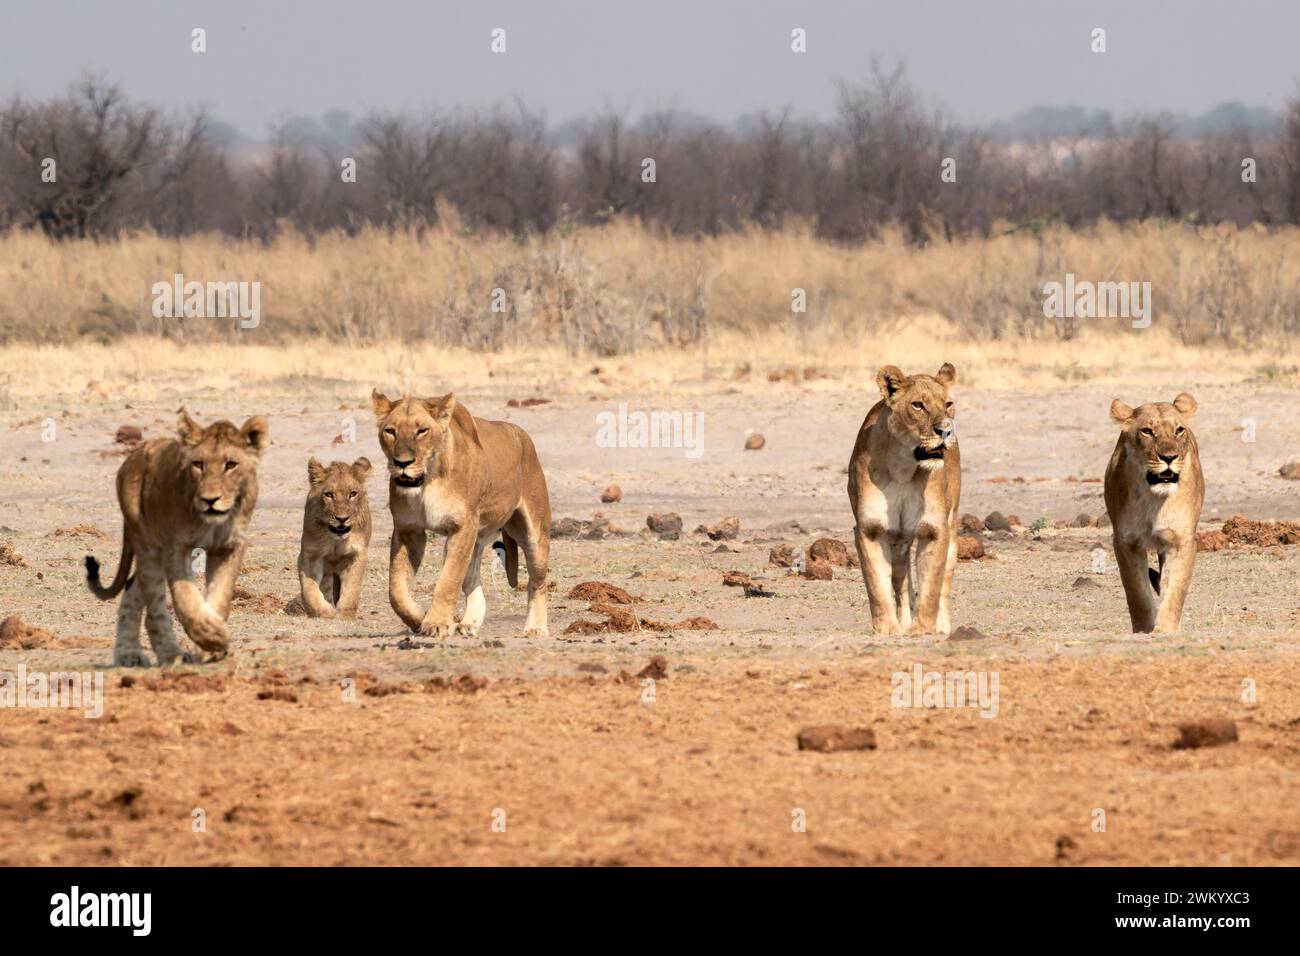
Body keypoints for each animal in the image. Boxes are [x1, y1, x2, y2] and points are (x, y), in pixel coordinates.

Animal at [85, 410, 269, 666]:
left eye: (231, 465)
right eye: (198, 464)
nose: (210, 500)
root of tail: (132, 457)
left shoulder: (230, 546)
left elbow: (220, 597)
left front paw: (210, 646)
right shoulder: (178, 546)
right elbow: (186, 599)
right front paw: (212, 636)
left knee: (132, 586)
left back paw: (129, 654)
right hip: (148, 543)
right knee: (152, 608)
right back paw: (168, 654)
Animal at [297, 457, 373, 619]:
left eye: (353, 494)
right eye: (329, 494)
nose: (342, 519)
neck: (335, 541)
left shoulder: (356, 554)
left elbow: (352, 587)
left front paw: (345, 614)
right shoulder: (310, 554)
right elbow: (309, 588)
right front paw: (324, 612)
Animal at [371, 389, 551, 639]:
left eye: (422, 430)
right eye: (390, 431)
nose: (402, 463)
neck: (428, 481)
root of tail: (522, 434)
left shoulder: (462, 526)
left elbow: (449, 579)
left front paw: (436, 622)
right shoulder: (408, 530)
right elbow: (396, 589)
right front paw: (418, 618)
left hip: (533, 532)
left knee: (538, 581)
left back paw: (535, 627)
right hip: (477, 538)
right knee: (472, 577)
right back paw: (470, 622)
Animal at [847, 364, 961, 636]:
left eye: (948, 404)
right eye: (918, 405)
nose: (947, 430)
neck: (903, 469)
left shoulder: (935, 530)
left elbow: (931, 588)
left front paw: (923, 630)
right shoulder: (869, 530)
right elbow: (877, 586)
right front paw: (887, 628)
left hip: (952, 531)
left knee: (944, 584)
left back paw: (943, 627)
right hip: (898, 543)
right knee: (901, 584)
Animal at [1103, 393, 1204, 633]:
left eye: (1179, 430)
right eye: (1147, 431)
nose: (1169, 457)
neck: (1153, 498)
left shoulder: (1181, 540)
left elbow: (1176, 589)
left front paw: (1165, 628)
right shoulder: (1125, 541)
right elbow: (1136, 592)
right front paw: (1143, 629)